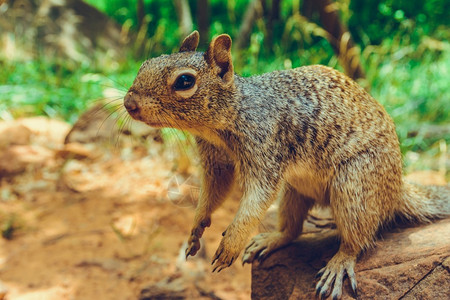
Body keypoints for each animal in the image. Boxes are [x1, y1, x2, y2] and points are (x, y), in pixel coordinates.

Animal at [124, 31, 450, 298]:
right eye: (145, 63)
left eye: (185, 82)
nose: (129, 104)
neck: (232, 114)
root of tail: (395, 190)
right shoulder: (216, 160)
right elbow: (214, 192)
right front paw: (196, 227)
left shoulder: (266, 148)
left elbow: (256, 199)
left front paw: (232, 242)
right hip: (294, 192)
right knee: (293, 230)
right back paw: (271, 239)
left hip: (355, 186)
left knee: (356, 239)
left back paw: (338, 264)